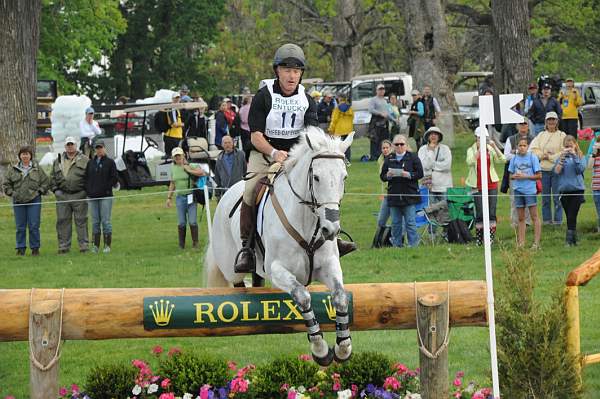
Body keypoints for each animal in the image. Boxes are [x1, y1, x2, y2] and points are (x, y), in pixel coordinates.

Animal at [206, 126, 354, 368]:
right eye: (316, 177)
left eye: (344, 177)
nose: (331, 230)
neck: (306, 221)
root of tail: (226, 194)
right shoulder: (278, 270)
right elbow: (303, 296)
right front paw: (321, 350)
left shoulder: (329, 265)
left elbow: (340, 297)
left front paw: (343, 348)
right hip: (230, 265)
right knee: (237, 283)